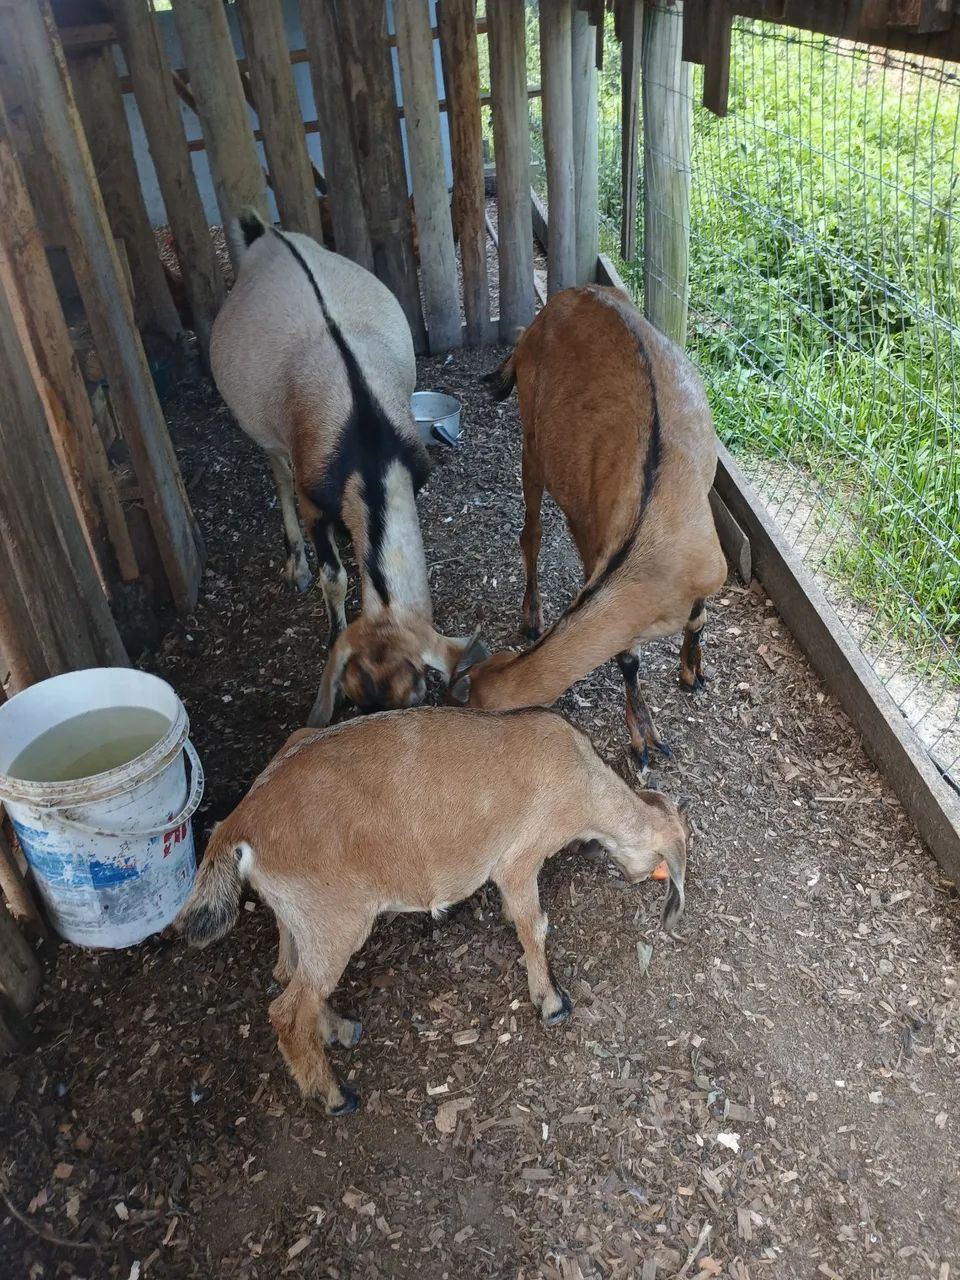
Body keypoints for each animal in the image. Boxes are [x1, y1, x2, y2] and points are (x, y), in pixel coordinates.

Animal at [175, 706, 689, 1115]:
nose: (635, 877)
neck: (582, 781)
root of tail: (240, 823)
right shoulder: (519, 858)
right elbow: (534, 927)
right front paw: (552, 1001)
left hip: (297, 912)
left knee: (288, 974)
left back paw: (340, 1029)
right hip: (335, 917)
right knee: (288, 1011)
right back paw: (336, 1096)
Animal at [210, 210, 481, 726]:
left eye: (414, 693)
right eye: (352, 696)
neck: (368, 445)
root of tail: (267, 233)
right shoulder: (314, 498)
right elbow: (332, 576)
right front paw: (330, 620)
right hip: (263, 431)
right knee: (278, 474)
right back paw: (295, 564)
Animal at [450, 285, 728, 769]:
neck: (651, 540)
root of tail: (554, 306)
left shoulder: (710, 567)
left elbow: (698, 617)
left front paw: (692, 673)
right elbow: (629, 661)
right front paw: (645, 740)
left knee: (532, 532)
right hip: (532, 439)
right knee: (532, 533)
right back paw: (532, 618)